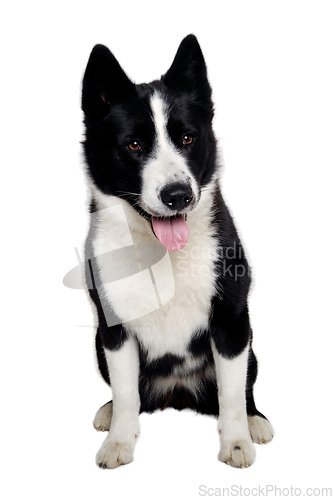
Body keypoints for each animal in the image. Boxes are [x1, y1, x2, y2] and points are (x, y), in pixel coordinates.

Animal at [80, 34, 272, 468]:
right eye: (134, 144)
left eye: (187, 138)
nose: (178, 195)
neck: (159, 253)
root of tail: (176, 394)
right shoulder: (114, 330)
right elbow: (127, 393)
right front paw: (119, 441)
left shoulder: (231, 320)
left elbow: (231, 393)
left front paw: (237, 442)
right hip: (97, 344)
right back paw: (108, 411)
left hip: (250, 344)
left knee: (242, 387)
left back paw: (255, 420)